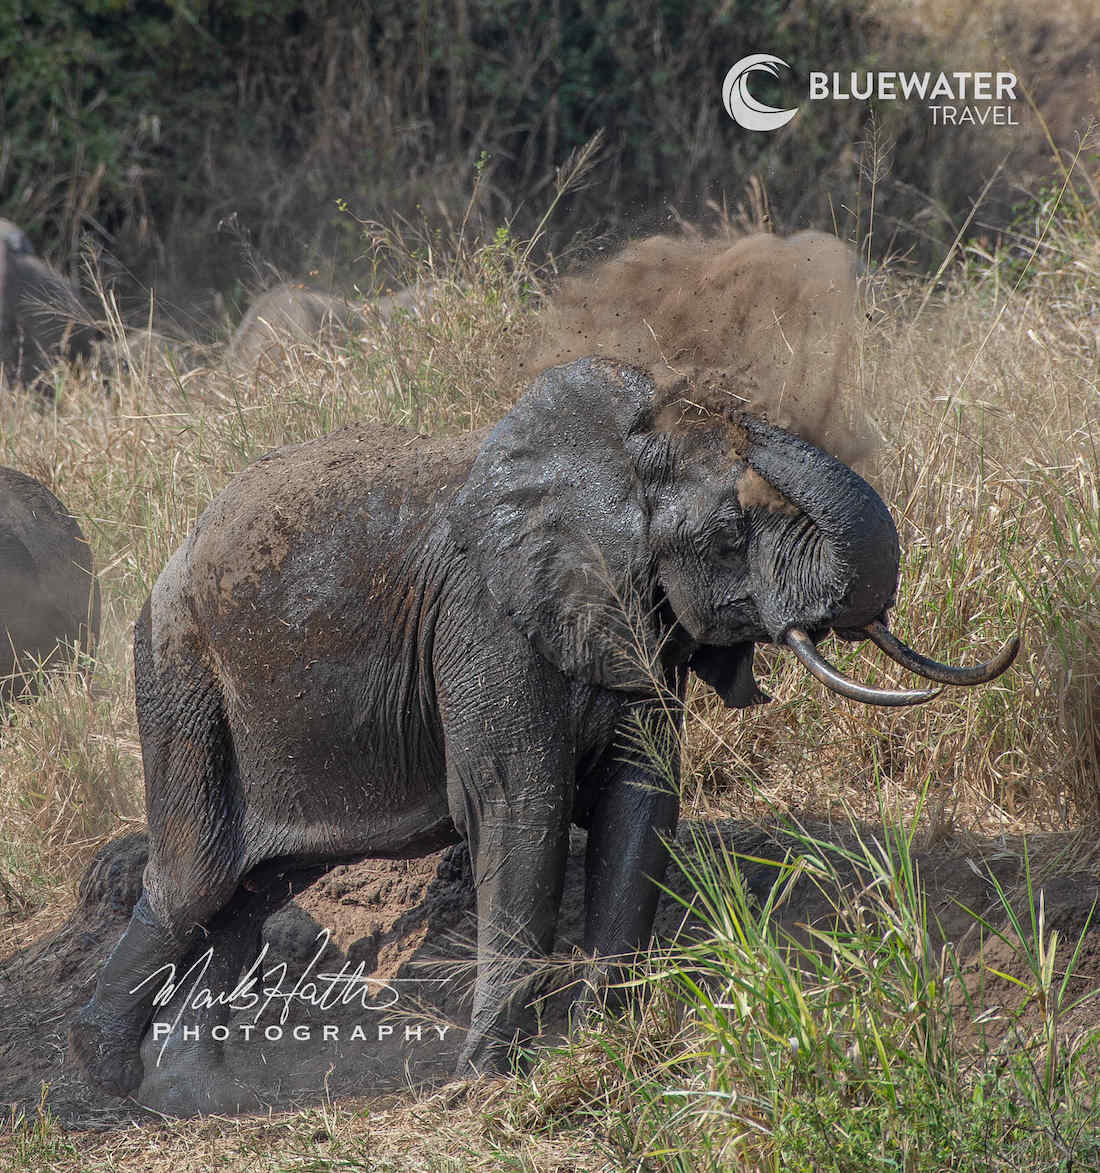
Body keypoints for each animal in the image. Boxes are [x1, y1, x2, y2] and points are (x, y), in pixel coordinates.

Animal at [69, 356, 1016, 1116]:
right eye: (727, 534)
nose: (744, 415)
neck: (615, 461)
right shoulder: (486, 620)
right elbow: (521, 806)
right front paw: (484, 1078)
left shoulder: (637, 624)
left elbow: (641, 803)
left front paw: (604, 1038)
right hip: (180, 675)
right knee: (195, 878)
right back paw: (113, 1081)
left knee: (252, 887)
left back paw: (191, 1085)